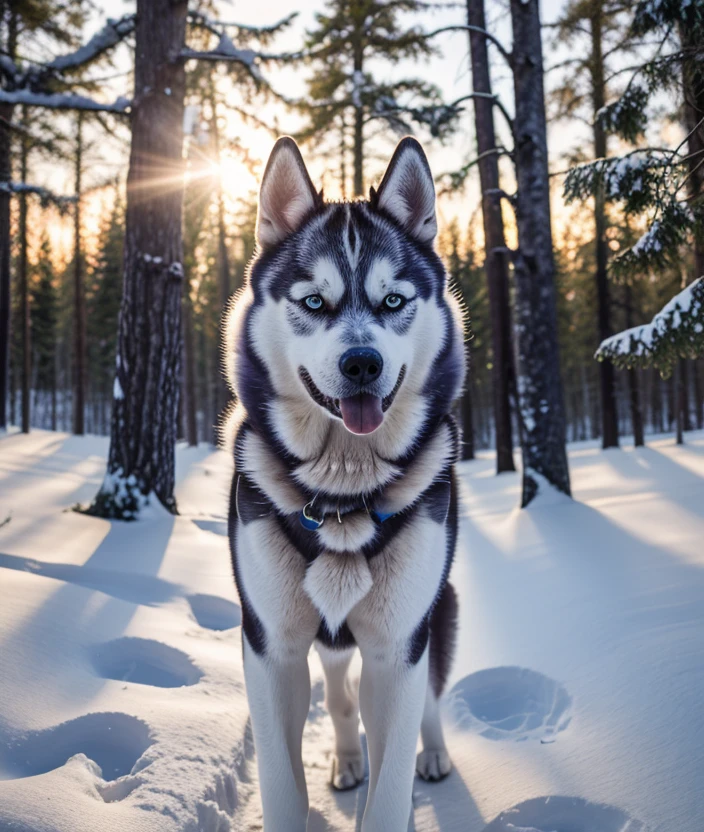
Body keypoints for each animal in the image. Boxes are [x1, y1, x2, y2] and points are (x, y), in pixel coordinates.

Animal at [228, 133, 464, 828]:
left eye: (393, 301)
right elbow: (283, 786)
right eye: (314, 302)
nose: (363, 363)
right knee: (337, 690)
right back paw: (347, 758)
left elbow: (390, 784)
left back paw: (432, 753)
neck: (341, 495)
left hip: (435, 610)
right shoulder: (270, 646)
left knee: (429, 696)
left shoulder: (398, 645)